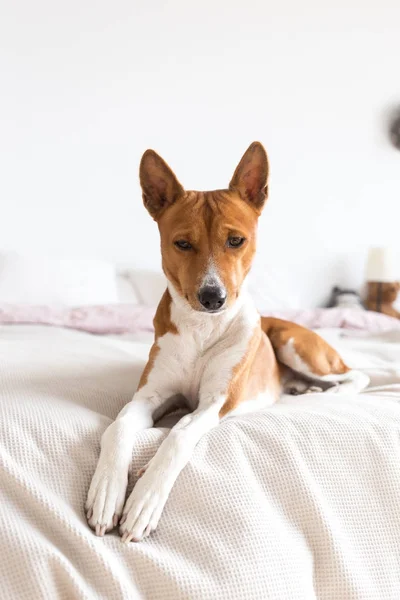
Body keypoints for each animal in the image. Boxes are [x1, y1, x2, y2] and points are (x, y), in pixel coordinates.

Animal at [86, 142, 370, 544]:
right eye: (182, 244)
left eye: (236, 241)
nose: (212, 297)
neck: (203, 329)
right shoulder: (150, 396)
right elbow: (118, 427)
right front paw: (107, 491)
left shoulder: (214, 403)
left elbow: (178, 435)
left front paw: (144, 500)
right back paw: (302, 390)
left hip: (293, 343)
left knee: (356, 375)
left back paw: (325, 394)